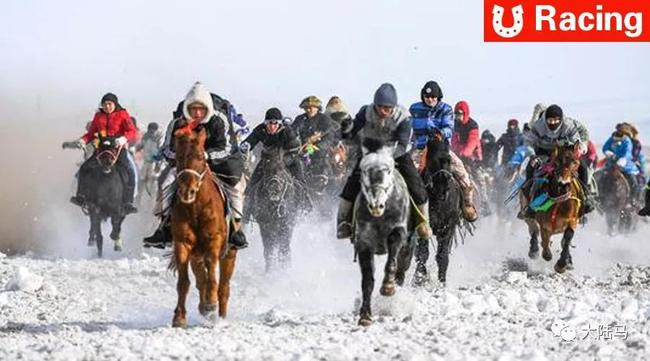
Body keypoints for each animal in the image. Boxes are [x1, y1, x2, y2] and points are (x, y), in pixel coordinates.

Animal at [168, 125, 237, 328]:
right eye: (178, 157)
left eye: (200, 156)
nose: (187, 191)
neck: (197, 207)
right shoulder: (182, 244)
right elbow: (184, 282)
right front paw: (179, 317)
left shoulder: (213, 242)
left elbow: (213, 279)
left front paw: (211, 306)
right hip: (196, 256)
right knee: (201, 280)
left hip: (229, 254)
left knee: (223, 287)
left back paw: (219, 315)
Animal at [350, 141, 410, 326]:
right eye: (363, 171)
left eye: (388, 170)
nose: (376, 205)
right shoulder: (364, 242)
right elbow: (367, 280)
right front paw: (365, 315)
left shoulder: (399, 230)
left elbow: (392, 256)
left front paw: (388, 287)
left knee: (402, 271)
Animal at [520, 143, 584, 272]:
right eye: (556, 163)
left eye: (575, 162)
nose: (563, 183)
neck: (559, 200)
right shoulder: (545, 225)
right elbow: (544, 241)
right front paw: (547, 254)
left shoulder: (572, 220)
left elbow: (567, 238)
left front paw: (562, 263)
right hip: (526, 211)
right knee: (533, 229)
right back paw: (534, 250)